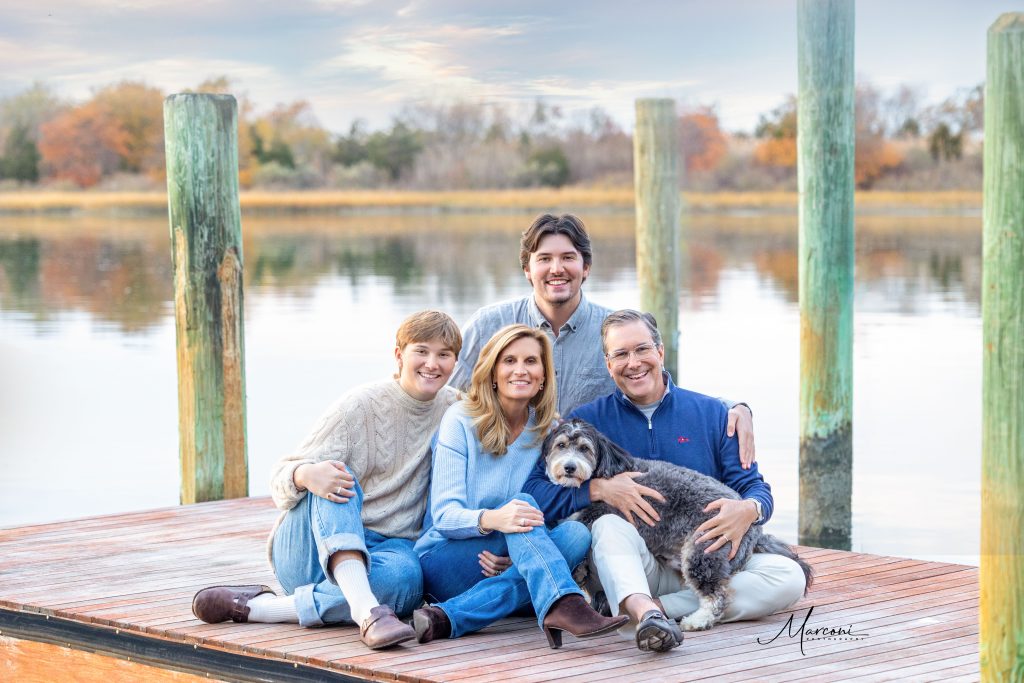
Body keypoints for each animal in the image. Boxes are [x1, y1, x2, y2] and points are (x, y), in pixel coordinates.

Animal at [540, 419, 811, 634]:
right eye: (561, 445)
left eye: (585, 449)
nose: (569, 467)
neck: (600, 476)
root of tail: (754, 528)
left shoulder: (608, 510)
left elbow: (578, 523)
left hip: (704, 549)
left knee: (716, 595)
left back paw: (696, 621)